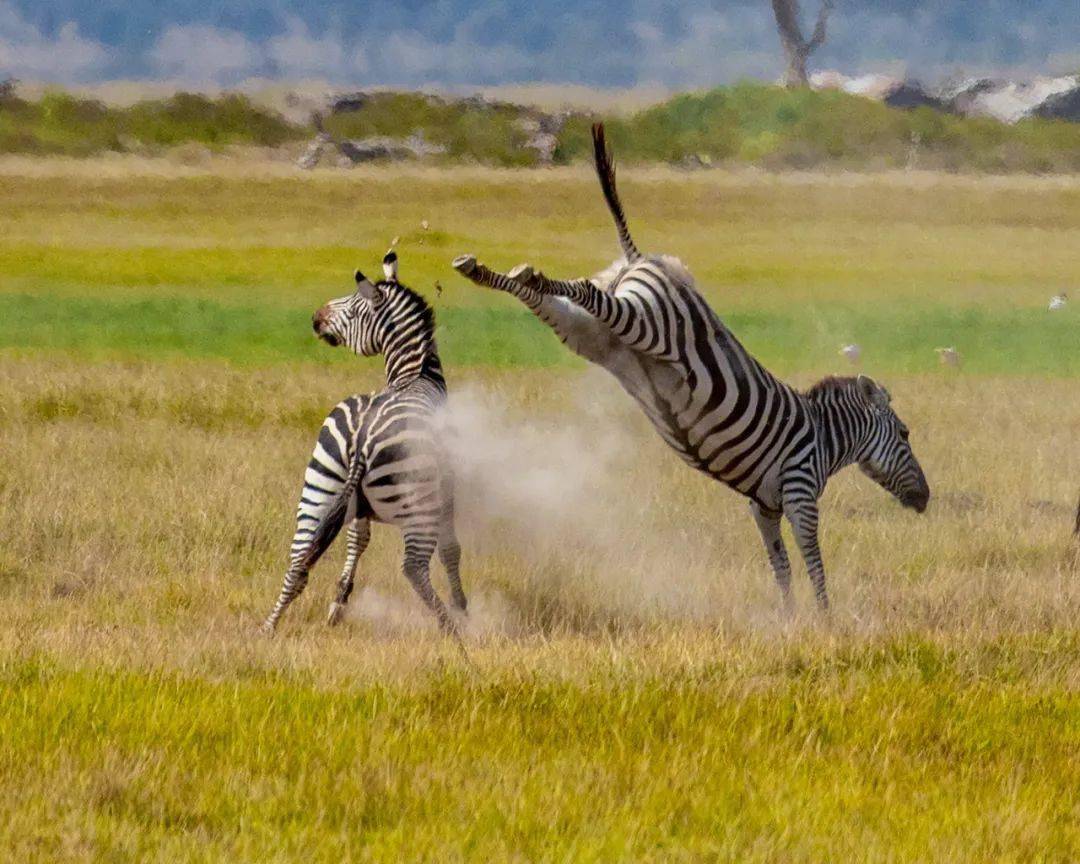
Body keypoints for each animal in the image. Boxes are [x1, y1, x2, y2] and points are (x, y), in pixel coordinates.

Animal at [263, 249, 466, 635]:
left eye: (354, 310)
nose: (315, 319)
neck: (413, 375)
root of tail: (363, 436)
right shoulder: (447, 489)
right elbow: (451, 549)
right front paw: (462, 605)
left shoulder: (356, 505)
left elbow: (357, 541)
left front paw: (338, 604)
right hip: (417, 500)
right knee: (413, 567)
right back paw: (453, 627)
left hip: (319, 482)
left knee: (298, 557)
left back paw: (268, 625)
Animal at [451, 123, 933, 609]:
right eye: (905, 433)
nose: (925, 499)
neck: (826, 436)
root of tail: (645, 260)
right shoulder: (800, 493)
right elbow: (814, 564)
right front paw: (823, 616)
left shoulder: (763, 507)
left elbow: (780, 567)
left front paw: (788, 615)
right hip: (647, 323)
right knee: (587, 290)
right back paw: (524, 273)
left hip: (592, 336)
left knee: (554, 299)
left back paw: (487, 271)